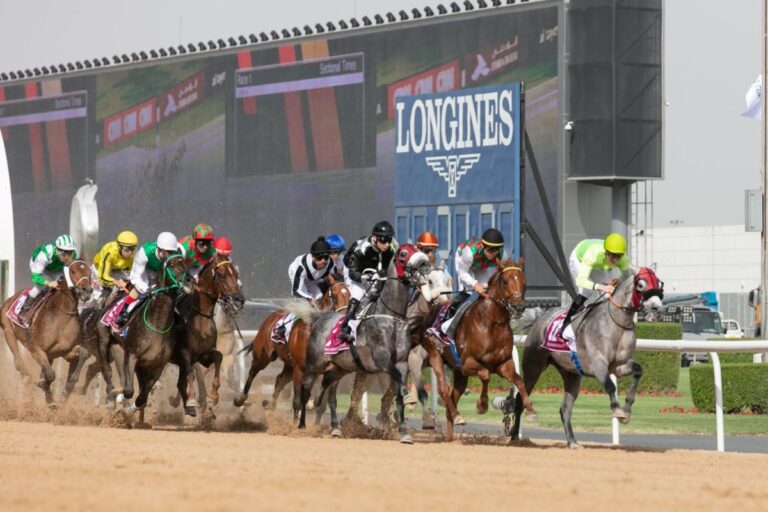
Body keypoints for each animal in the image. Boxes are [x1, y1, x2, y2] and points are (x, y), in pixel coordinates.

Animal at [0, 258, 93, 406]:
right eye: (73, 271)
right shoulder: (36, 349)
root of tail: (10, 298)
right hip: (8, 330)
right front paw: (44, 386)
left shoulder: (66, 351)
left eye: (89, 272)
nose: (87, 290)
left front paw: (59, 393)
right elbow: (50, 374)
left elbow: (84, 353)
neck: (62, 316)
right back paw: (27, 377)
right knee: (18, 361)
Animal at [234, 274, 352, 422]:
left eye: (351, 297)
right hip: (264, 355)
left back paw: (271, 407)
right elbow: (297, 400)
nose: (344, 321)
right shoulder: (299, 368)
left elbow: (330, 400)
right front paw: (295, 424)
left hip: (288, 365)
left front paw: (333, 424)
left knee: (280, 380)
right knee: (253, 371)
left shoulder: (331, 369)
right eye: (334, 297)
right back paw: (240, 399)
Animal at [416, 258, 536, 442]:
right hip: (436, 356)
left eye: (525, 282)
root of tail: (430, 313)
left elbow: (519, 381)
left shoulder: (503, 364)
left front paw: (530, 410)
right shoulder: (467, 363)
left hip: (459, 374)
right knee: (444, 388)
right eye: (505, 281)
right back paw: (457, 416)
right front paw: (482, 405)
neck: (492, 323)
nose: (518, 307)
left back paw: (451, 431)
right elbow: (485, 374)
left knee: (453, 396)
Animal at [510, 268, 664, 448]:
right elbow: (610, 386)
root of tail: (539, 319)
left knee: (565, 409)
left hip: (572, 375)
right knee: (520, 399)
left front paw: (626, 410)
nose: (656, 307)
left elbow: (638, 371)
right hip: (533, 368)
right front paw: (617, 410)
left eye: (658, 282)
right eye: (640, 285)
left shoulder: (619, 366)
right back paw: (514, 436)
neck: (615, 324)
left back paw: (573, 442)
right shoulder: (598, 365)